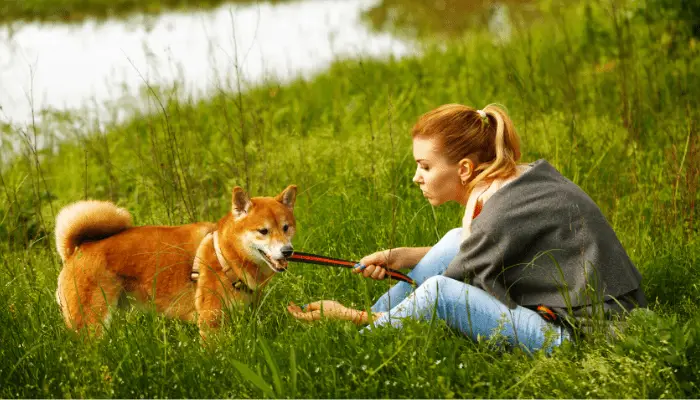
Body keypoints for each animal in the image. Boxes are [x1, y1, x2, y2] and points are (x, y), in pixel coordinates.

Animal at [54, 186, 296, 336]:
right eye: (263, 231)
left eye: (286, 227)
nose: (287, 251)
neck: (226, 255)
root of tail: (77, 249)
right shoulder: (211, 320)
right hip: (90, 324)